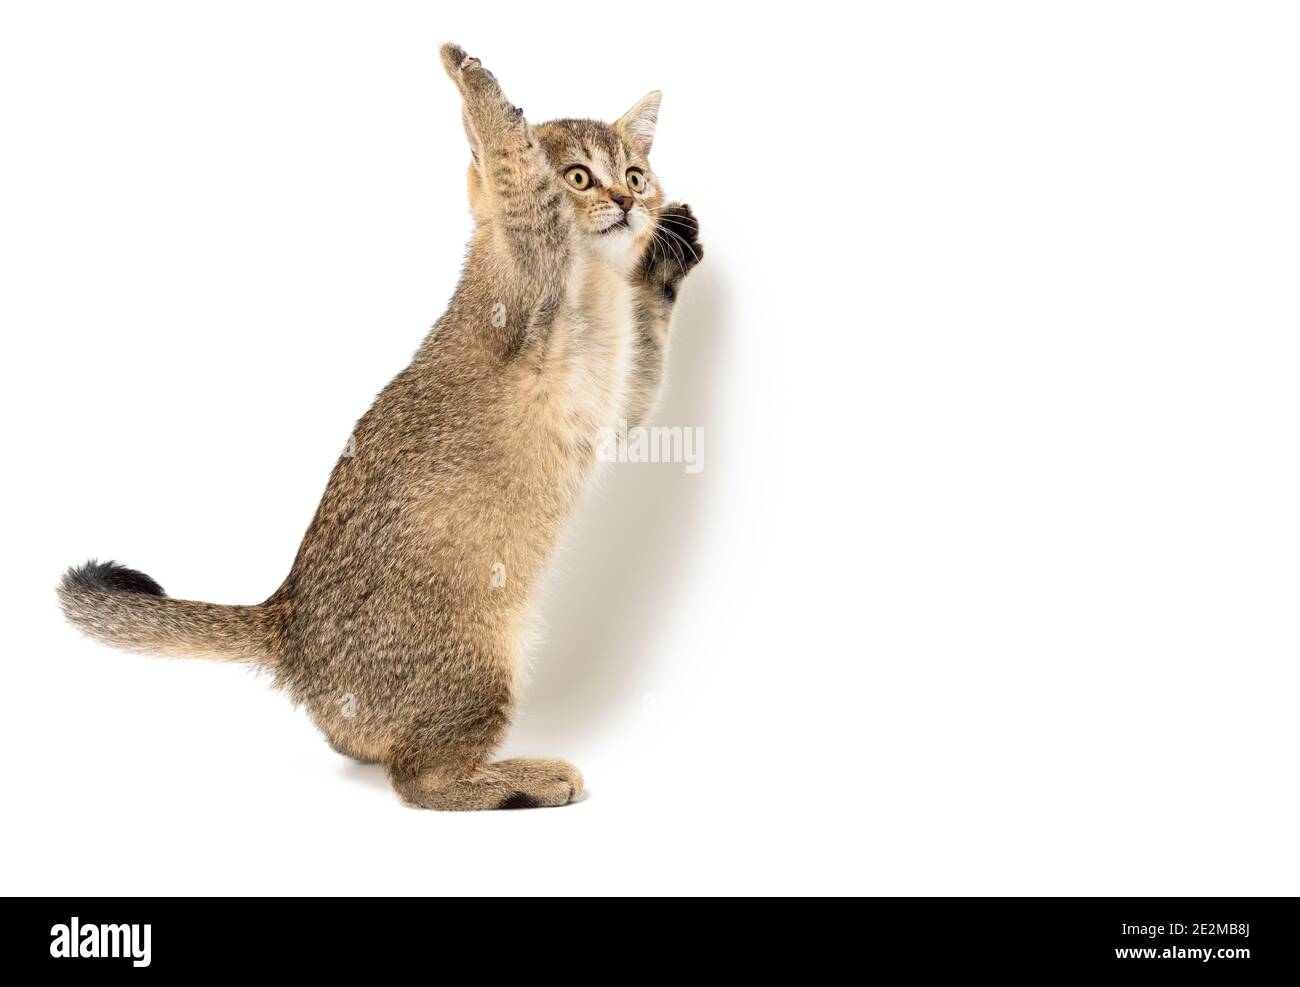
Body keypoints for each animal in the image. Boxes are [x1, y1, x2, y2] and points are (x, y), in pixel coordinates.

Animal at [55, 44, 702, 811]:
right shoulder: (529, 278)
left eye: (634, 174)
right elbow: (522, 181)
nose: (631, 202)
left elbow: (650, 347)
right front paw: (476, 81)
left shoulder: (621, 410)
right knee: (419, 782)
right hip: (478, 664)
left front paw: (666, 262)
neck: (596, 292)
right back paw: (527, 779)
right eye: (579, 176)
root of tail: (285, 620)